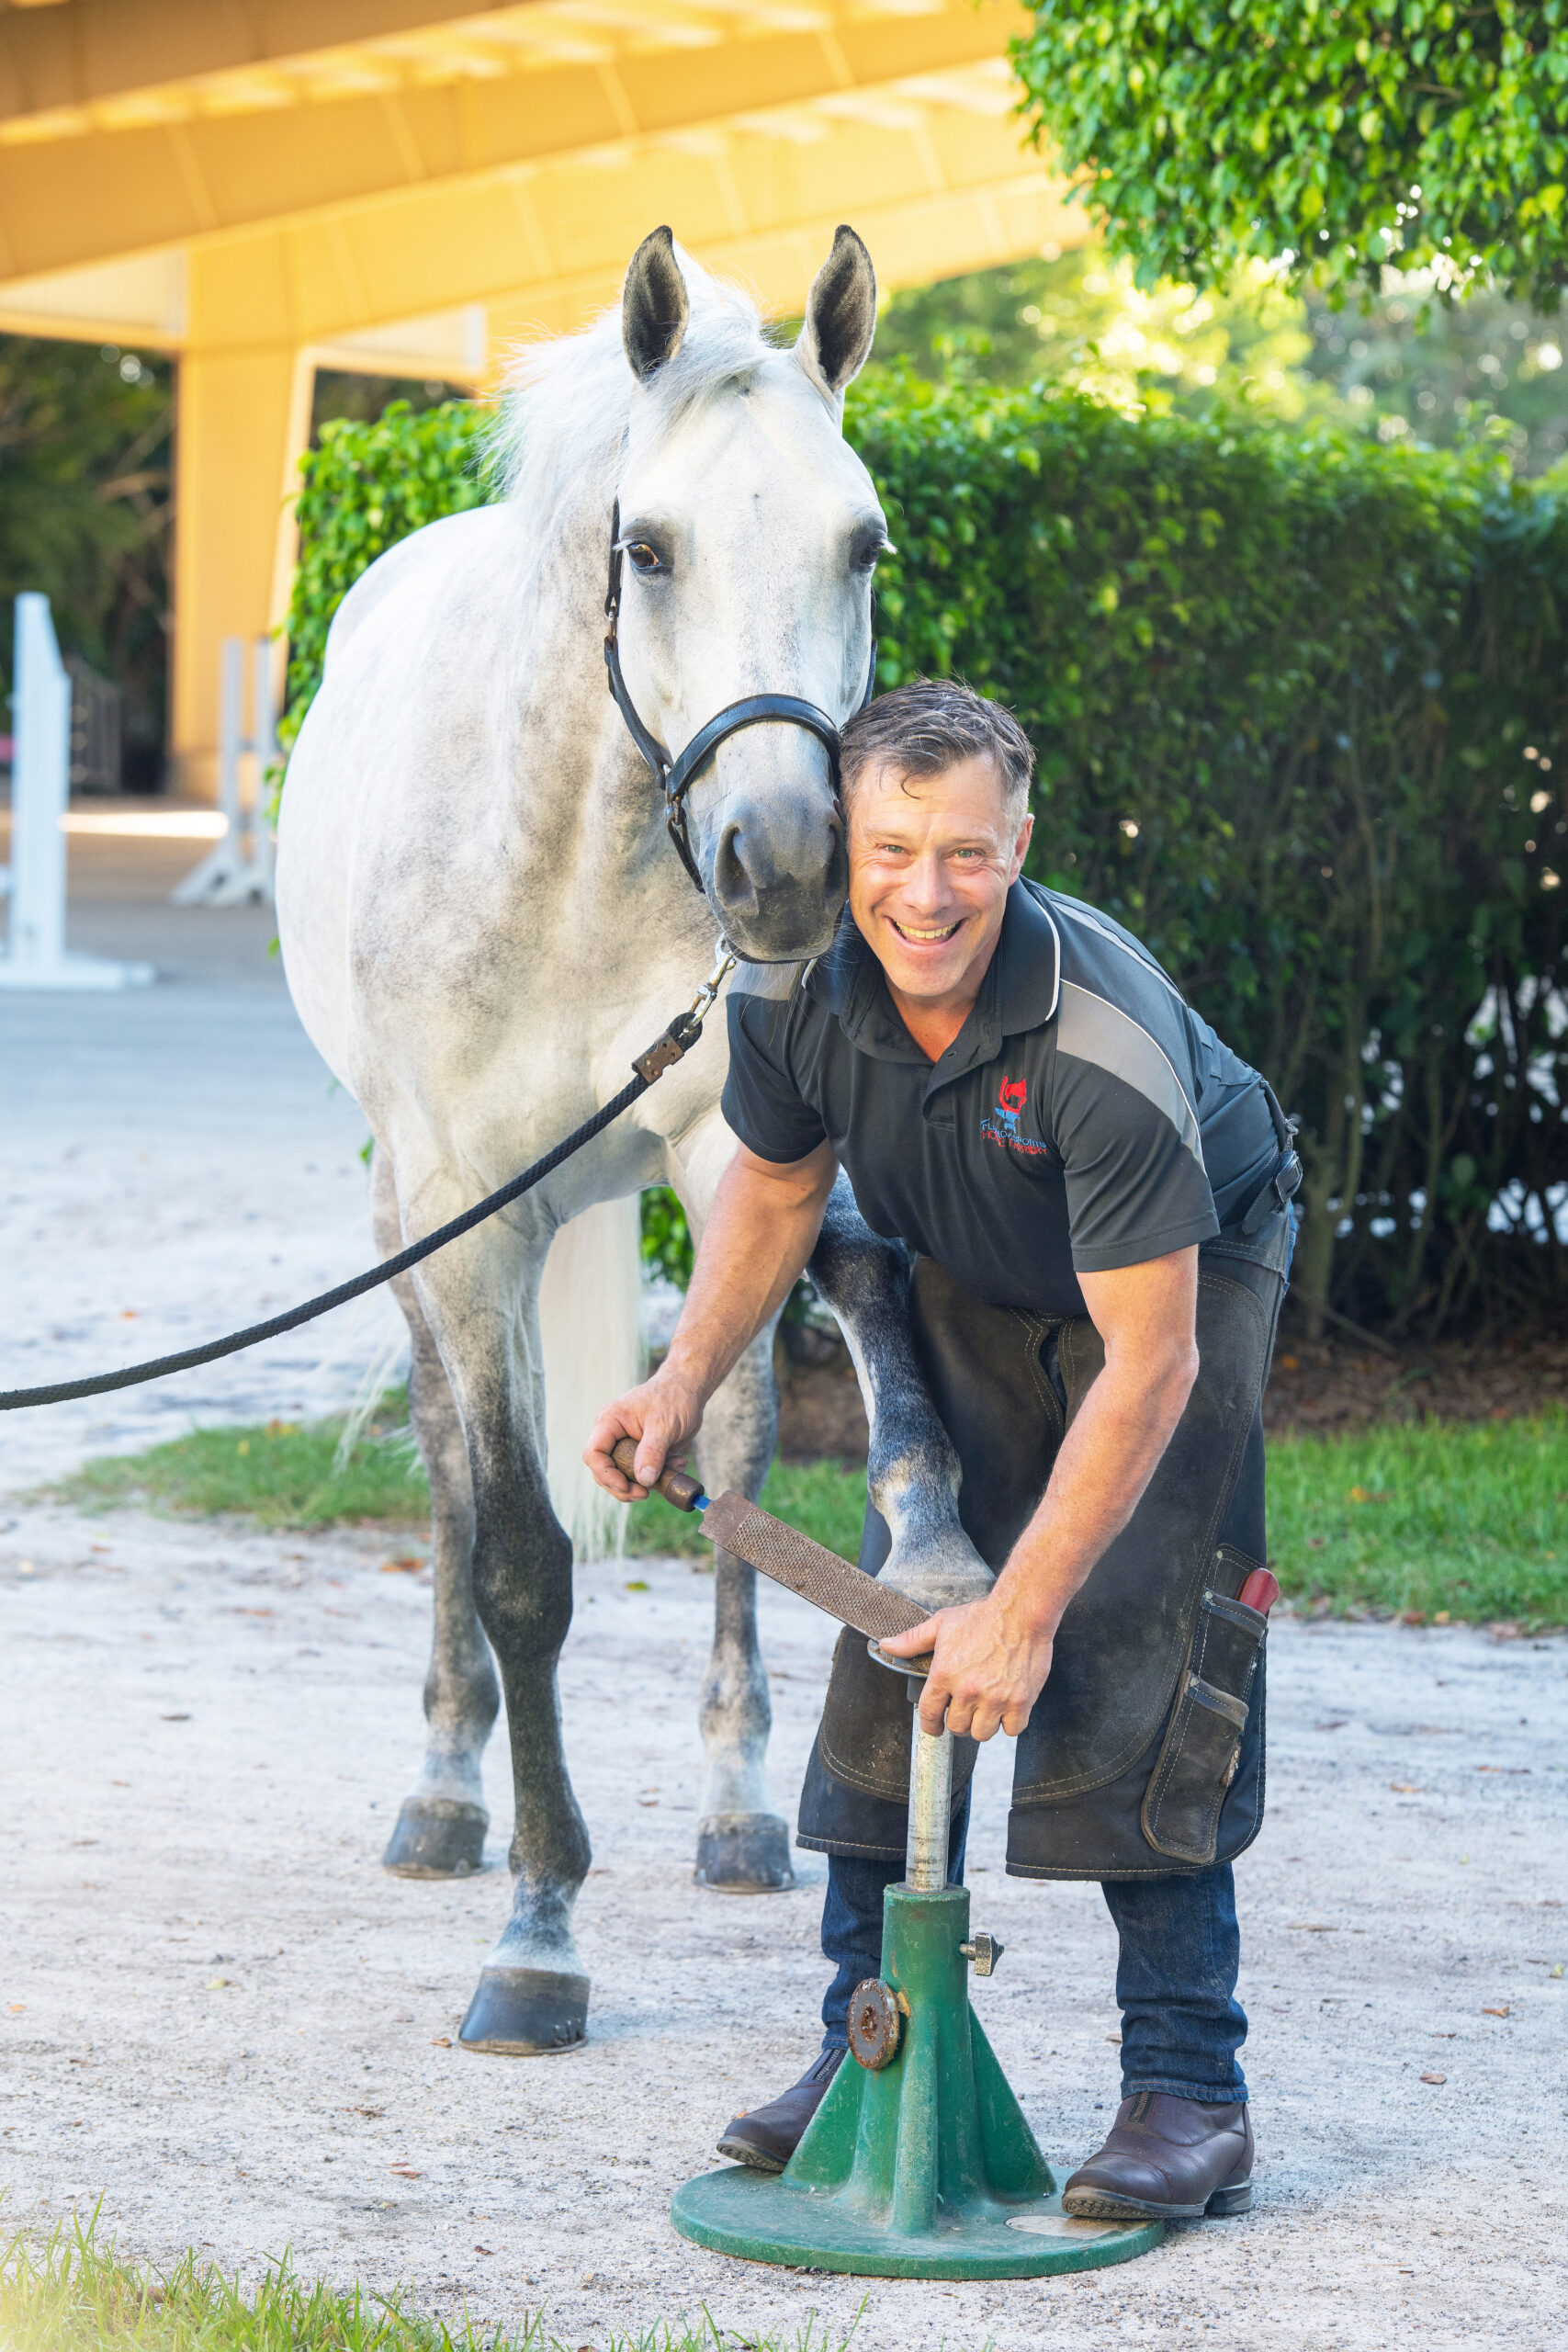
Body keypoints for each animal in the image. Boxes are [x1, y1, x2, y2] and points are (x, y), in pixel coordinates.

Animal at [276, 226, 990, 2057]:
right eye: (648, 549)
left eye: (864, 543)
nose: (790, 865)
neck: (569, 867)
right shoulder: (465, 1214)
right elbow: (519, 1553)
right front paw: (536, 1933)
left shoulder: (744, 1152)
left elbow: (782, 1404)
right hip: (409, 1224)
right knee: (451, 1465)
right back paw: (445, 1792)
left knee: (728, 1440)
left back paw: (733, 1806)